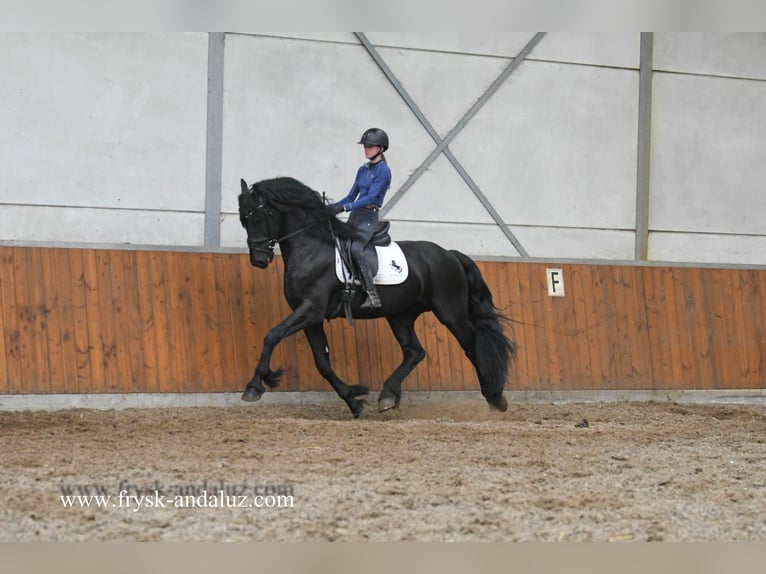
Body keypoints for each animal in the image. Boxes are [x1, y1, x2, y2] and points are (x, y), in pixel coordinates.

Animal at [240, 178, 516, 420]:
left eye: (258, 216)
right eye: (243, 219)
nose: (259, 260)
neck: (313, 248)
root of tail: (449, 254)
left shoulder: (311, 310)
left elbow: (272, 335)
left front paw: (253, 387)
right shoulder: (311, 317)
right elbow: (323, 364)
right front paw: (354, 402)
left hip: (451, 313)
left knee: (471, 346)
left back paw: (495, 398)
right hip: (401, 315)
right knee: (415, 352)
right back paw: (388, 396)